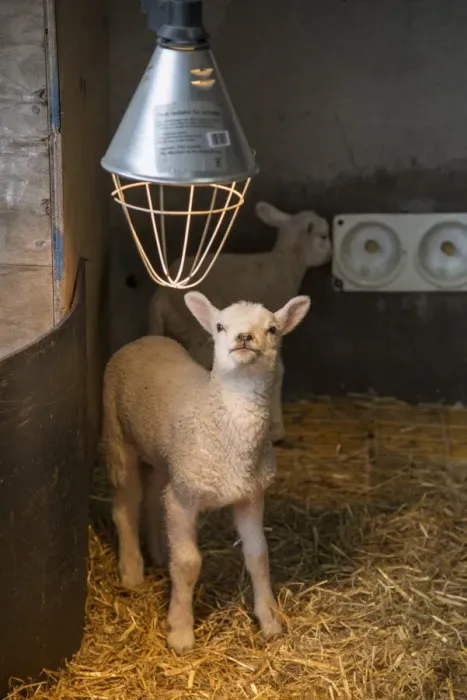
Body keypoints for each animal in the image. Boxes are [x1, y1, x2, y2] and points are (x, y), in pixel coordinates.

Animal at [102, 291, 311, 654]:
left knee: (154, 498)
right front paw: (180, 632)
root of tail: (147, 339)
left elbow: (258, 557)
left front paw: (270, 621)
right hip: (117, 434)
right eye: (220, 326)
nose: (244, 338)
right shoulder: (185, 499)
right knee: (125, 505)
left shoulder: (250, 496)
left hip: (168, 460)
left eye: (272, 329)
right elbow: (188, 563)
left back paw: (159, 553)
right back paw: (132, 571)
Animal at [148, 200, 331, 443]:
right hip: (196, 330)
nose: (330, 256)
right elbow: (279, 371)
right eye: (323, 236)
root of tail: (162, 294)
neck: (288, 261)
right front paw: (276, 429)